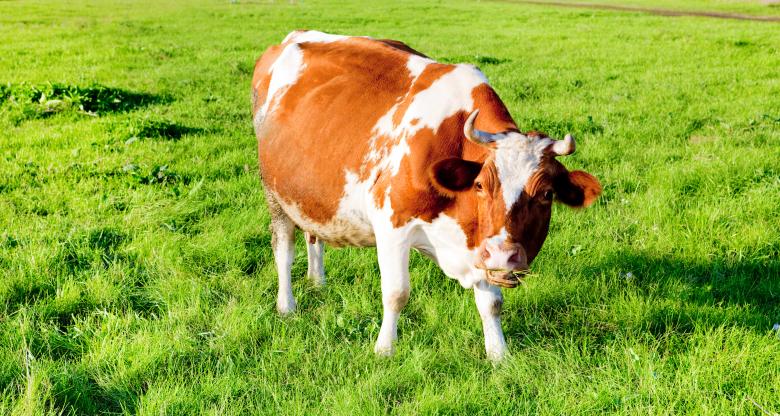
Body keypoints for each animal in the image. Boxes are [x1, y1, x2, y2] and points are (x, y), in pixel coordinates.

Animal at [251, 30, 601, 360]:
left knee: (313, 234)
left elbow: (492, 302)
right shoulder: (391, 223)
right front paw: (385, 349)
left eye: (546, 194)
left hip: (309, 193)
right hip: (274, 192)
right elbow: (396, 293)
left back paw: (317, 282)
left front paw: (499, 355)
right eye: (480, 186)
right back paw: (287, 305)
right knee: (283, 247)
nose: (505, 256)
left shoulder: (480, 244)